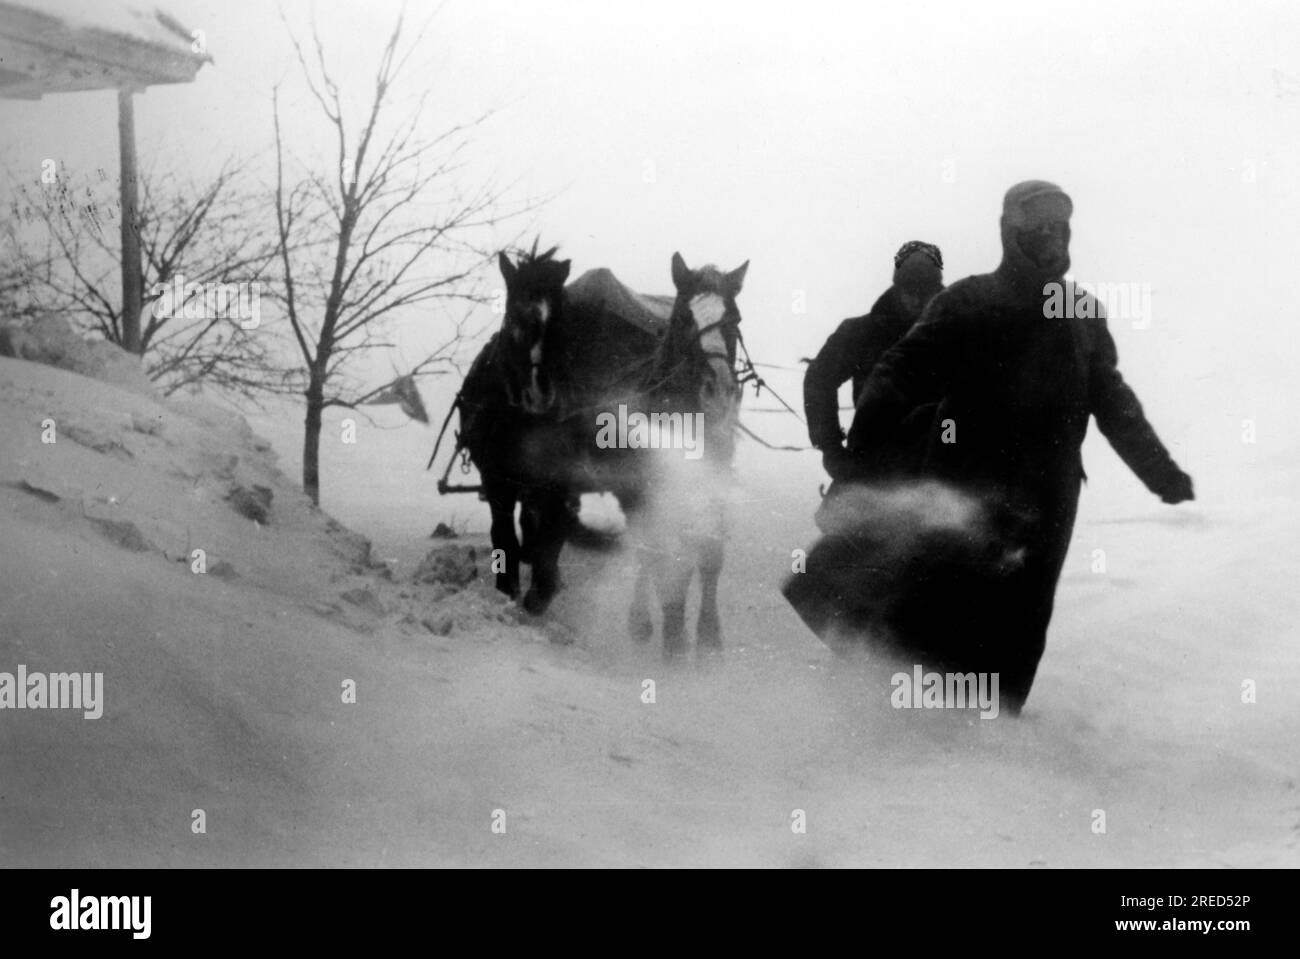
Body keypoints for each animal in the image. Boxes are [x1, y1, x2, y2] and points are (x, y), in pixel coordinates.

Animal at [454, 242, 748, 654]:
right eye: (685, 319)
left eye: (734, 319)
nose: (718, 389)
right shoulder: (500, 479)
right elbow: (508, 538)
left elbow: (703, 553)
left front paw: (702, 635)